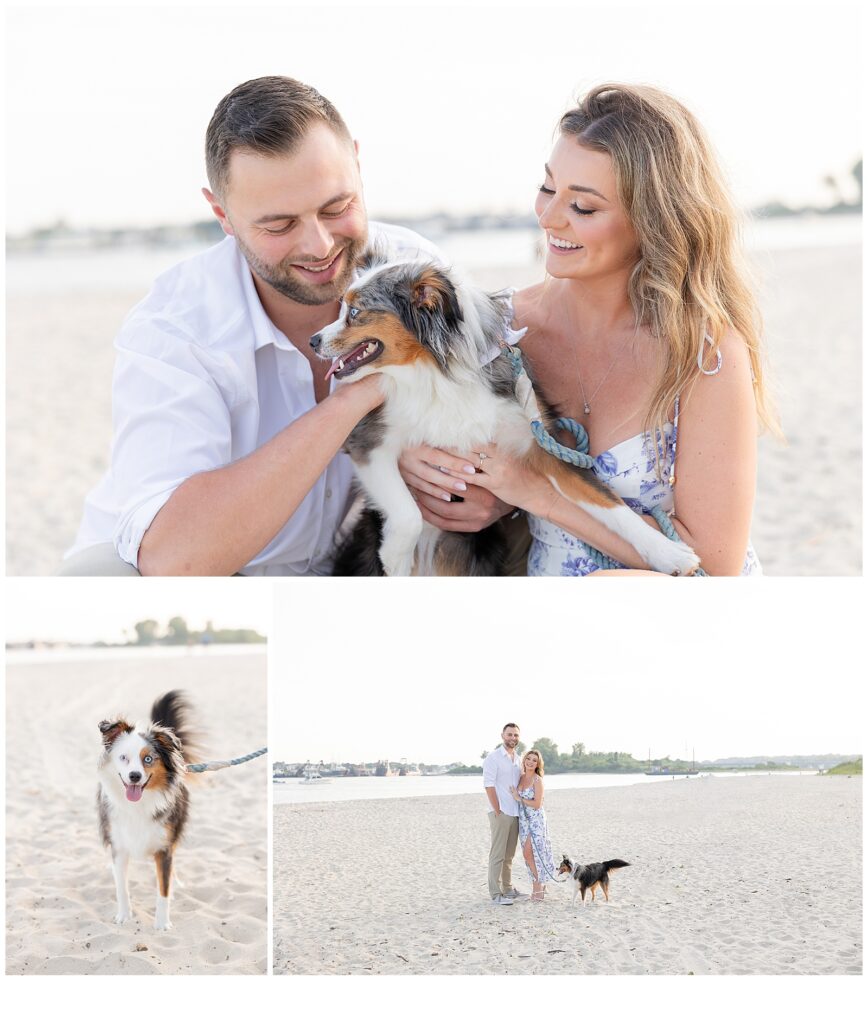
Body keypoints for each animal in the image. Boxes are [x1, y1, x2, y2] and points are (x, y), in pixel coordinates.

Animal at [97, 692, 197, 933]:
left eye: (148, 759)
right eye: (123, 757)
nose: (134, 776)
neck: (138, 804)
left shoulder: (164, 847)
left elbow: (164, 890)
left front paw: (162, 923)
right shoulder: (119, 845)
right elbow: (121, 887)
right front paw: (124, 916)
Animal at [309, 249, 700, 577]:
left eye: (354, 313)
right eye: (342, 309)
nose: (314, 340)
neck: (435, 374)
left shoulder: (542, 443)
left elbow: (610, 504)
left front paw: (670, 553)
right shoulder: (368, 442)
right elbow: (409, 513)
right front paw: (395, 558)